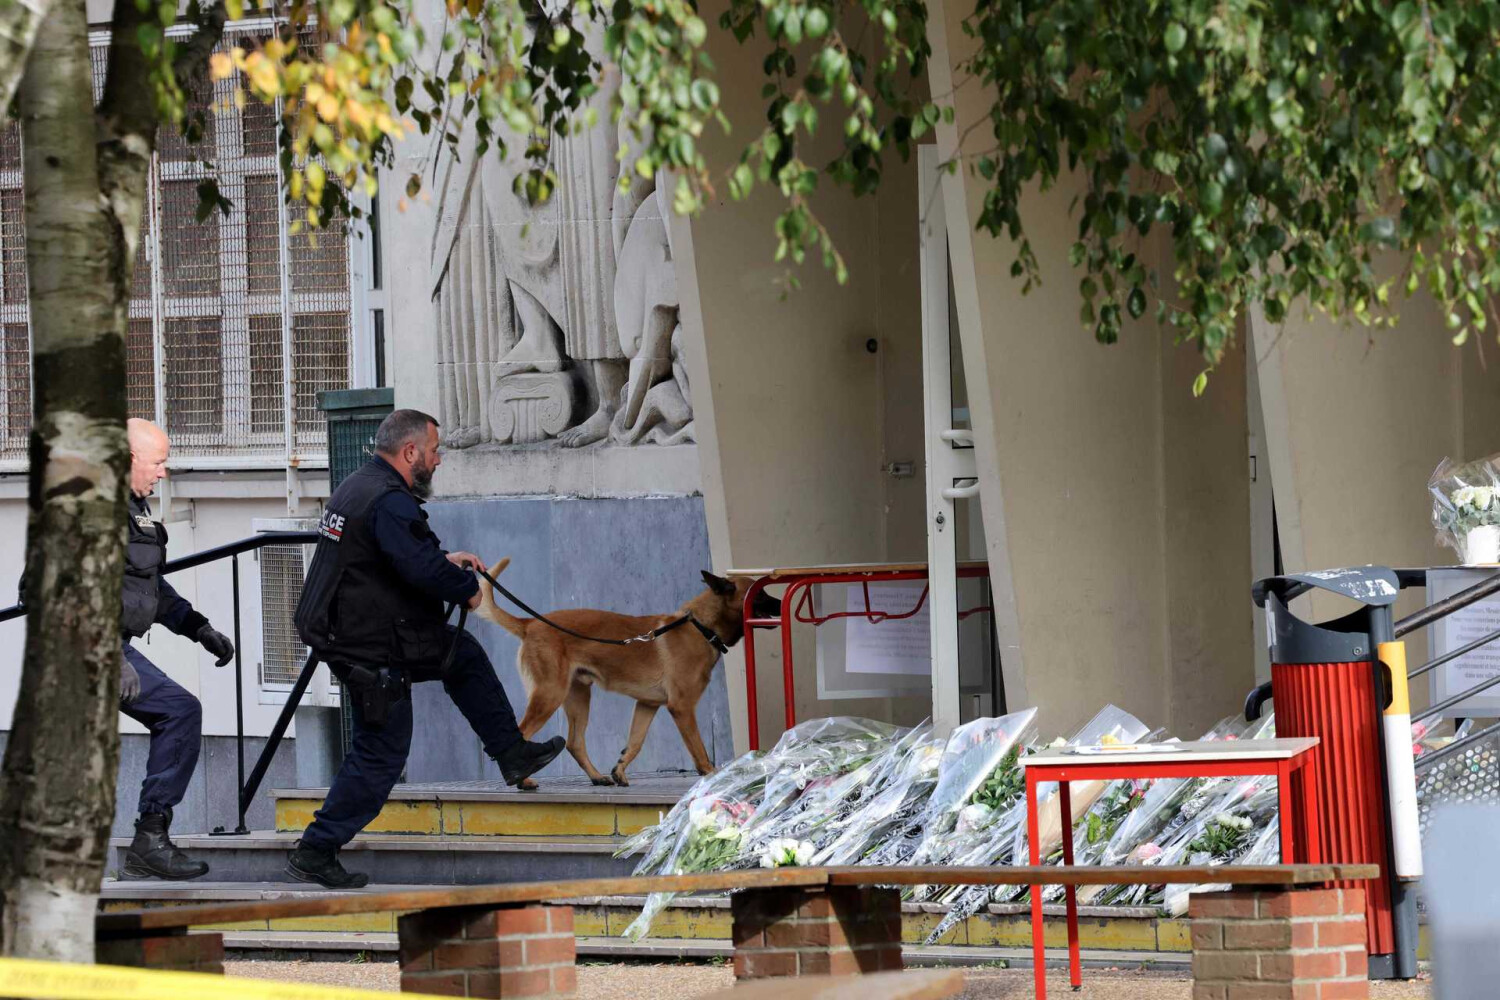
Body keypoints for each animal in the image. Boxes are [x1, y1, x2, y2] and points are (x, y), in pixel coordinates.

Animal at [477, 560, 786, 785]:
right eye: (760, 594)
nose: (782, 604)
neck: (700, 626)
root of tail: (529, 624)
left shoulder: (647, 705)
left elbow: (635, 742)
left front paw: (619, 770)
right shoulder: (682, 707)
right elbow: (698, 750)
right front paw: (711, 777)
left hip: (578, 697)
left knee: (575, 742)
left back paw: (597, 777)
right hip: (550, 695)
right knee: (522, 733)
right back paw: (523, 780)